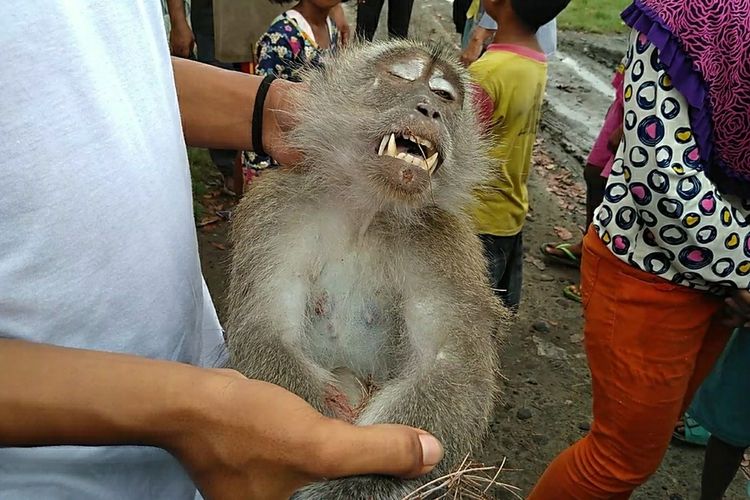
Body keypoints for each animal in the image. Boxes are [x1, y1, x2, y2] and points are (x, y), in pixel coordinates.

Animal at [223, 40, 506, 500]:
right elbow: (263, 331)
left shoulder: (447, 245)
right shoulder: (276, 212)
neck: (366, 210)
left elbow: (452, 366)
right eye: (402, 77)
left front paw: (358, 482)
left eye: (445, 96)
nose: (430, 109)